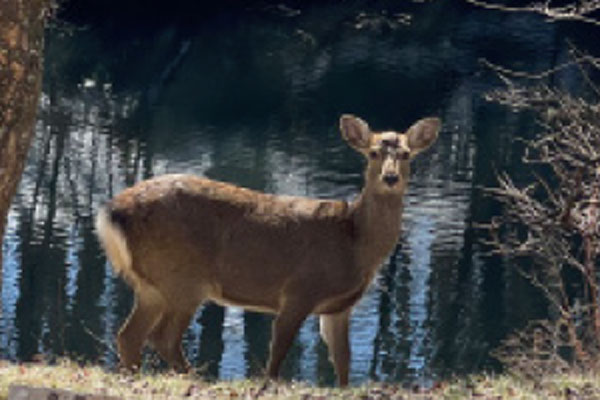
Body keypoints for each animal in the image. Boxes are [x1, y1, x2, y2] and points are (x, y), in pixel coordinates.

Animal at [95, 114, 440, 386]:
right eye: (372, 153)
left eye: (406, 154)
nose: (390, 177)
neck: (355, 243)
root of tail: (111, 212)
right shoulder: (300, 290)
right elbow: (277, 354)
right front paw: (269, 384)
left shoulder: (338, 308)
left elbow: (343, 362)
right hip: (183, 277)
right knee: (162, 337)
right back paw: (194, 378)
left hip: (152, 285)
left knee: (129, 335)